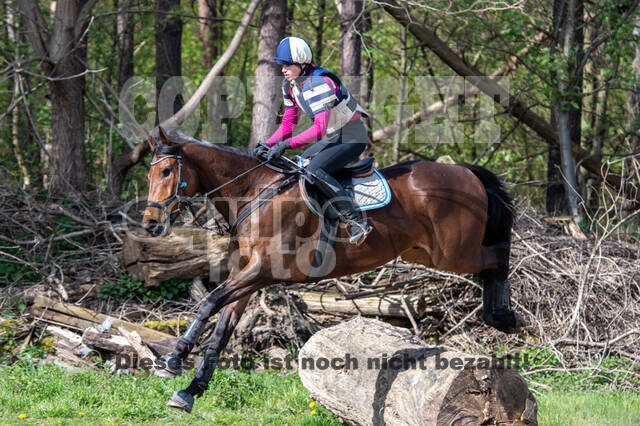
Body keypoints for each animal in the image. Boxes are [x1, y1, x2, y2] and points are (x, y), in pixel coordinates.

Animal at [141, 127, 520, 412]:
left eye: (166, 171)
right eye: (149, 173)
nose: (150, 223)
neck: (255, 193)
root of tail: (466, 171)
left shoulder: (263, 271)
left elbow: (207, 303)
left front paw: (173, 359)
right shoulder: (246, 277)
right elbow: (222, 328)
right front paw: (190, 391)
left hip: (453, 252)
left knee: (497, 256)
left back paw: (503, 315)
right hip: (425, 253)